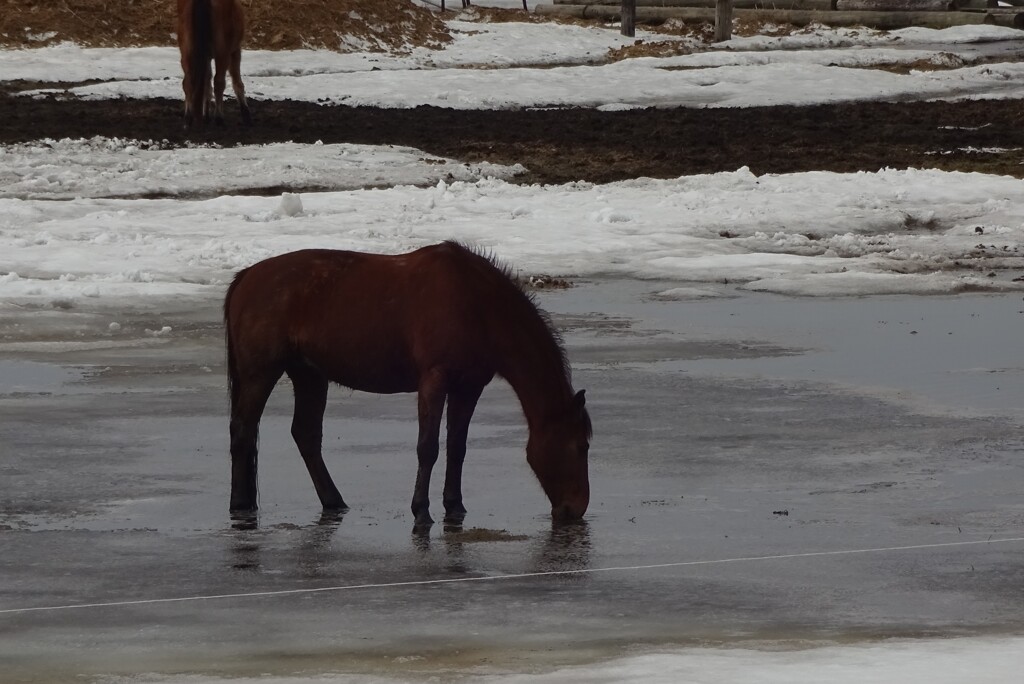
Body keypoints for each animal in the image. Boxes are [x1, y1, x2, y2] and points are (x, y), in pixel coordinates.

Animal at [224, 242, 593, 528]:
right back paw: (240, 504)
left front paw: (454, 506)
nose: (576, 509)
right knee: (243, 430)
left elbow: (457, 448)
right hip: (260, 373)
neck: (476, 304)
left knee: (306, 435)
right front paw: (421, 511)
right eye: (580, 446)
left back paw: (334, 501)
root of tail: (246, 276)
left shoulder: (468, 387)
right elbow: (427, 447)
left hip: (310, 374)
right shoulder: (434, 380)